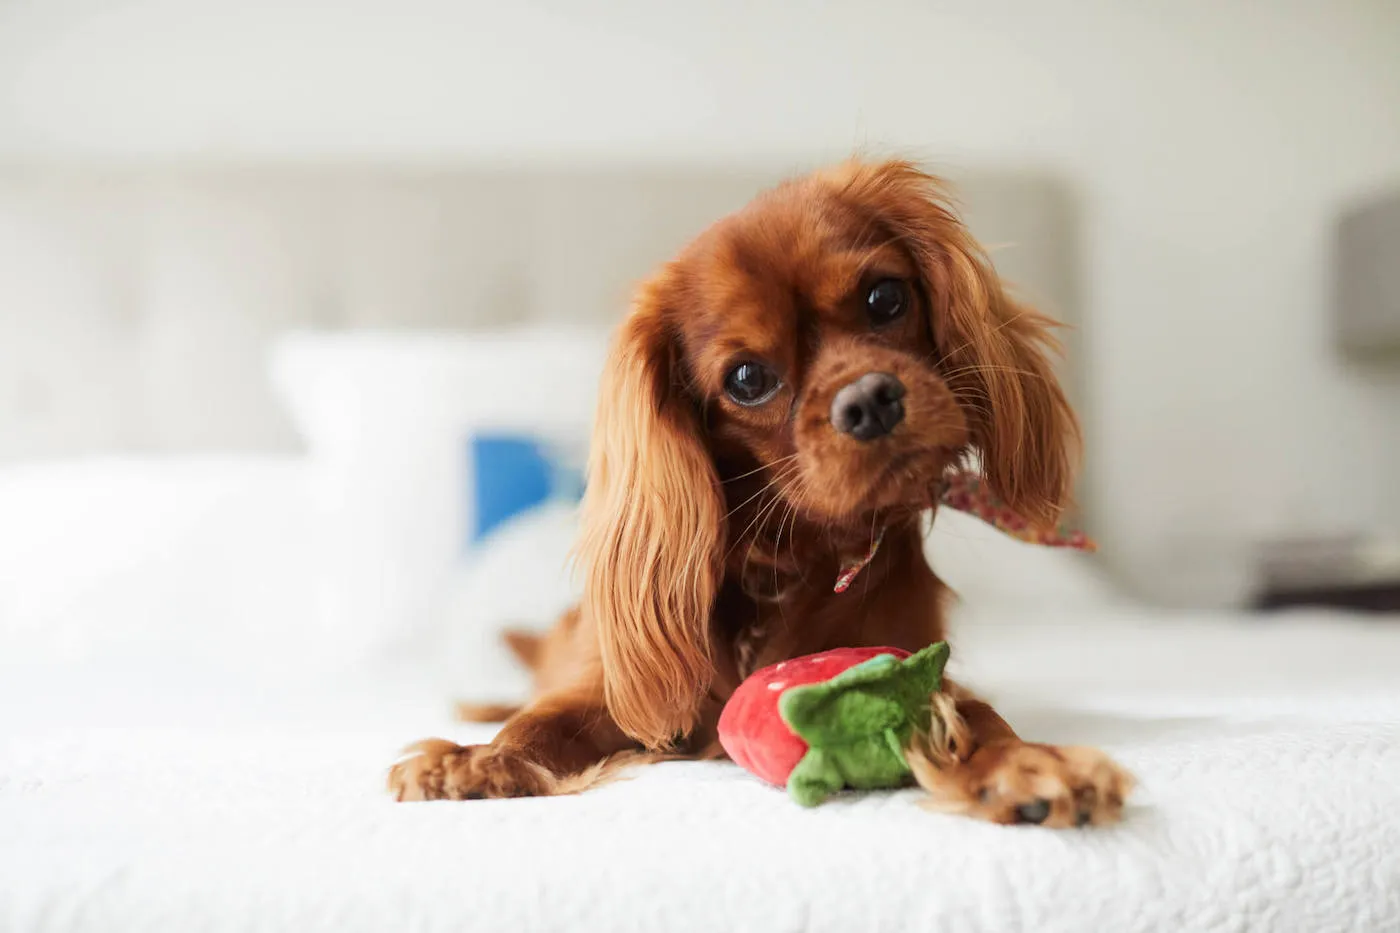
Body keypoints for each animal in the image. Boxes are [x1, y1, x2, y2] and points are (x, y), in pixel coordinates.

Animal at [389, 161, 1131, 829]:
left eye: (886, 298)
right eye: (748, 379)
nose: (869, 400)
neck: (783, 567)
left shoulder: (915, 664)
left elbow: (971, 713)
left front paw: (1025, 763)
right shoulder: (618, 696)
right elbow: (546, 720)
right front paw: (479, 760)